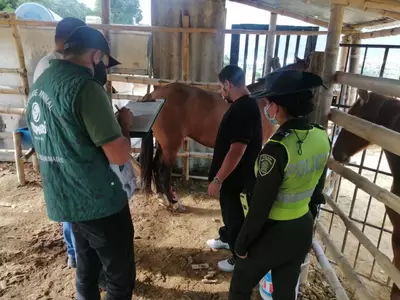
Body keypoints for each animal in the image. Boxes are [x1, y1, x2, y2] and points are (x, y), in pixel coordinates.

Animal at [139, 56, 310, 211]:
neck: (260, 101)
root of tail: (154, 95)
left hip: (163, 143)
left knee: (155, 166)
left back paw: (162, 197)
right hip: (171, 144)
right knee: (164, 171)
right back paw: (174, 202)